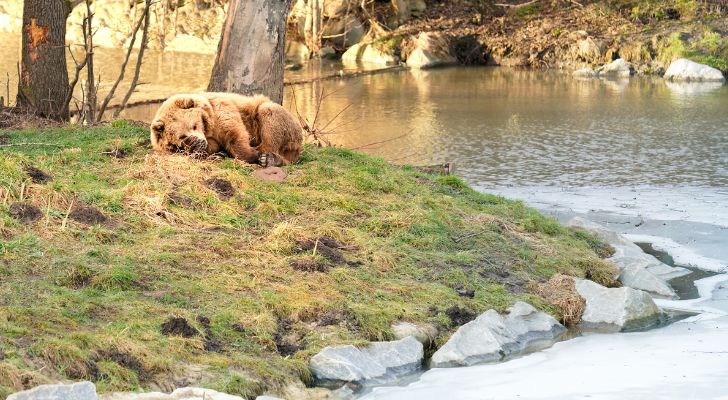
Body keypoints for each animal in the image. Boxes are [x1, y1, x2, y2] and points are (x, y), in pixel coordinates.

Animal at [151, 92, 304, 166]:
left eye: (194, 125)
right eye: (182, 136)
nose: (199, 141)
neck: (209, 127)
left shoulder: (221, 109)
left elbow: (234, 135)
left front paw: (251, 155)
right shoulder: (211, 138)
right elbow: (212, 146)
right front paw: (196, 146)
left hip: (288, 127)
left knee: (268, 112)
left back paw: (267, 157)